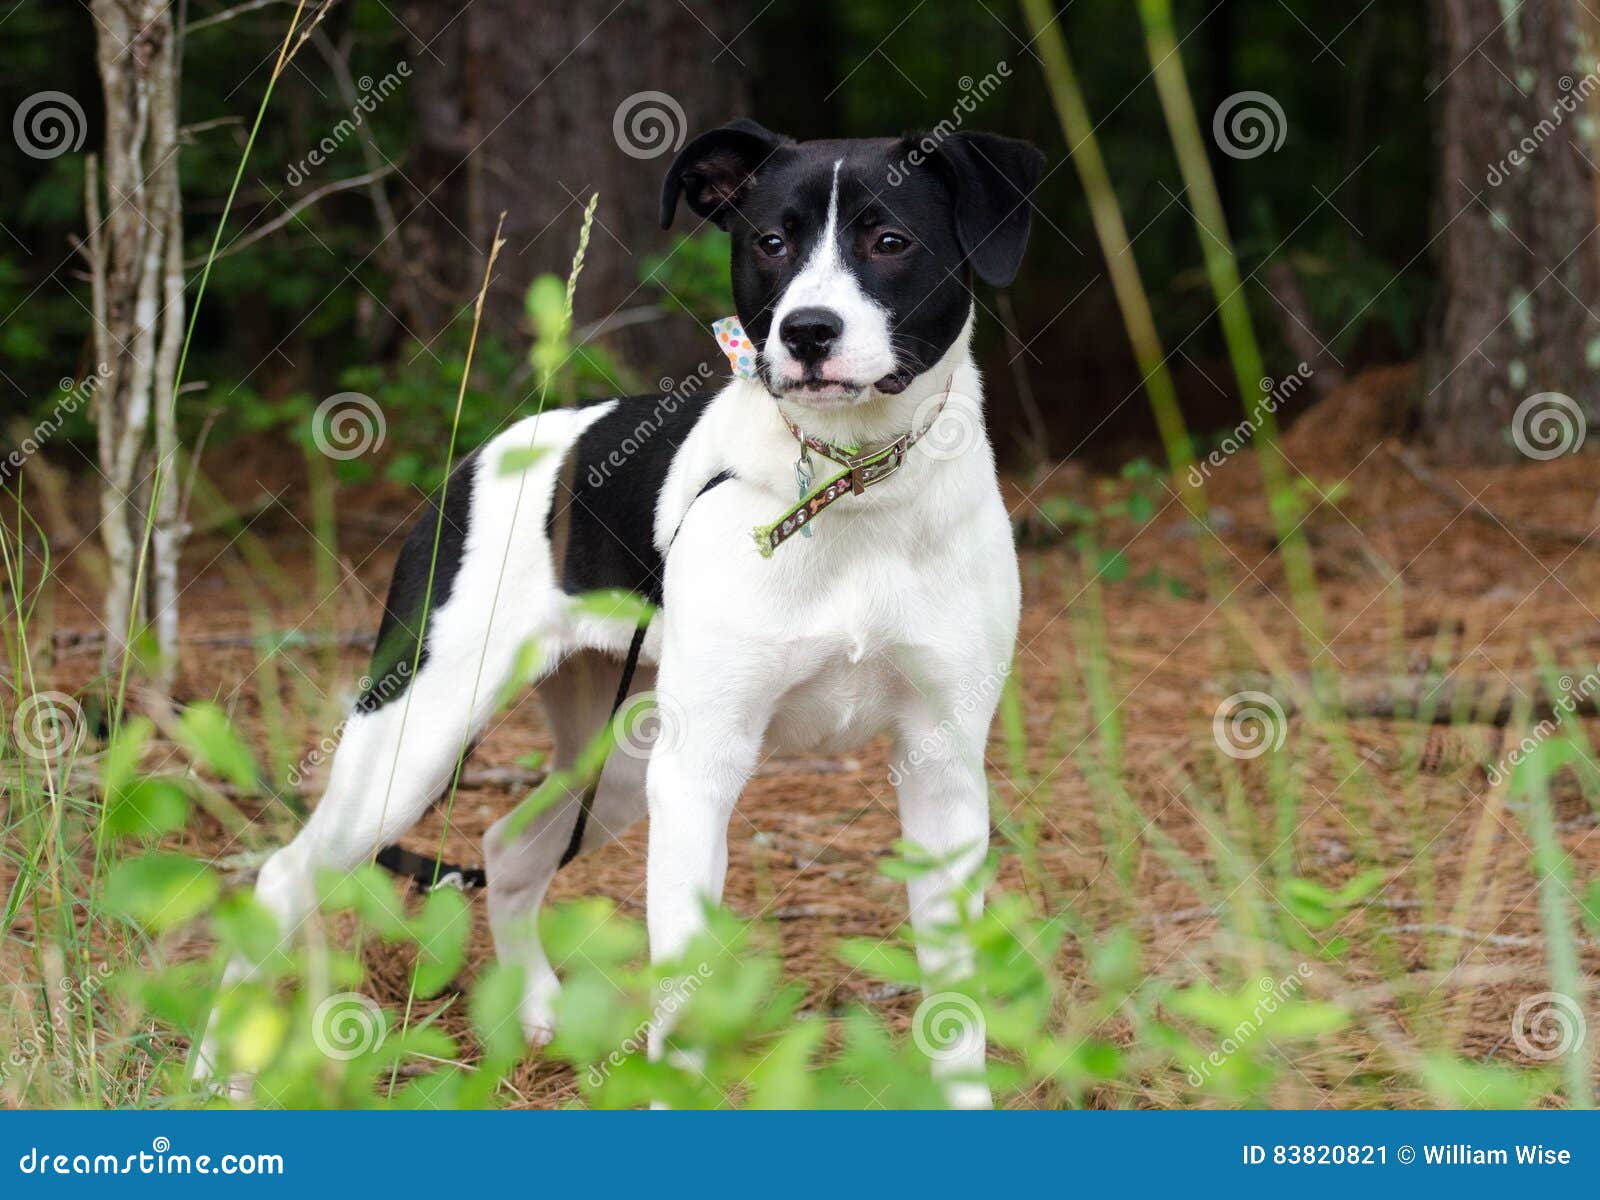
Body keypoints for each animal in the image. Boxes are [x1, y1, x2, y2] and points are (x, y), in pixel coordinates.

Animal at [200, 122, 1043, 1107]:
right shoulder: (701, 773)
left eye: (890, 240)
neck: (851, 488)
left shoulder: (943, 769)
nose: (806, 331)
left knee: (508, 848)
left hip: (619, 756)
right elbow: (684, 993)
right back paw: (215, 1065)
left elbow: (955, 999)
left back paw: (535, 1012)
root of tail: (484, 455)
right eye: (771, 241)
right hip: (415, 741)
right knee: (283, 876)